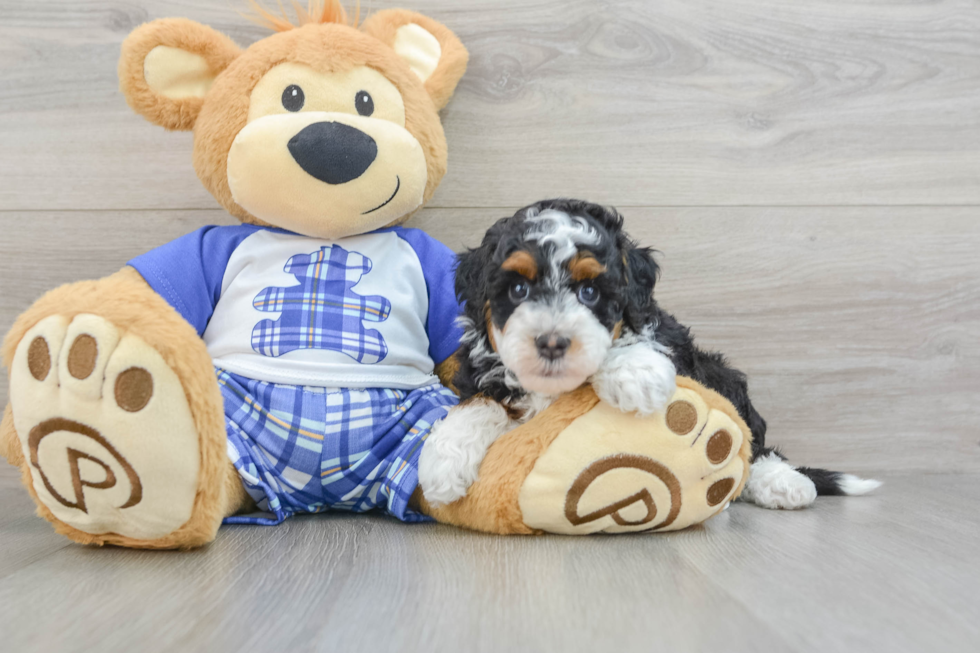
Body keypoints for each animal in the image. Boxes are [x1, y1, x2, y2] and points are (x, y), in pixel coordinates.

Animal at [420, 199, 880, 510]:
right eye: (517, 289)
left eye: (590, 292)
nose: (551, 342)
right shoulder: (482, 370)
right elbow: (478, 403)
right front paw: (443, 461)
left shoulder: (672, 345)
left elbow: (635, 341)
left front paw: (634, 374)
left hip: (720, 374)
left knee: (754, 442)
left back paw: (783, 483)